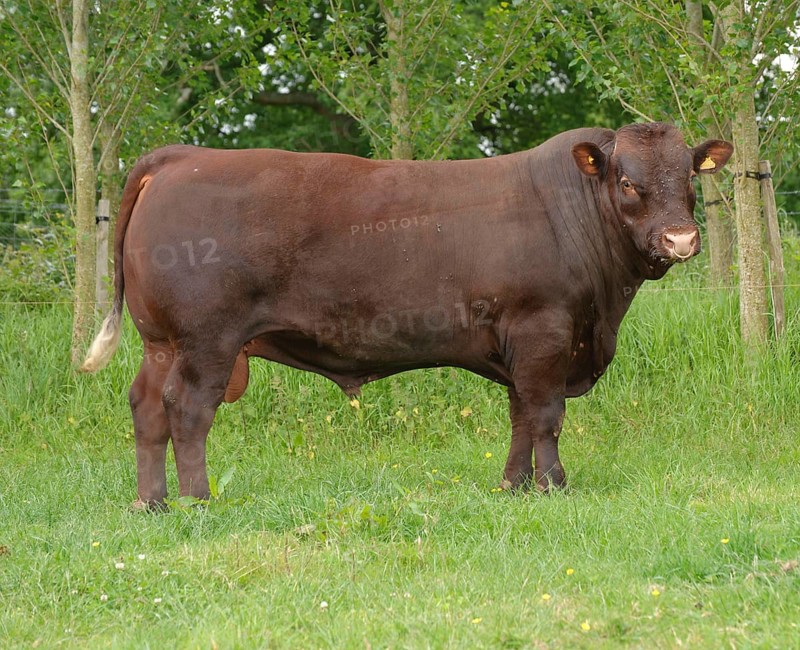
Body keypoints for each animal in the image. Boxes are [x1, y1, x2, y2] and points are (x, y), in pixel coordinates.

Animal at [81, 122, 732, 508]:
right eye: (628, 182)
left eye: (689, 179)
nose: (680, 239)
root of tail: (179, 157)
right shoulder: (544, 329)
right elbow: (546, 415)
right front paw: (553, 487)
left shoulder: (520, 344)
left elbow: (521, 416)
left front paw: (514, 485)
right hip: (205, 340)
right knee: (187, 410)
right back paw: (198, 498)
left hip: (161, 341)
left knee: (146, 407)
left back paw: (151, 502)